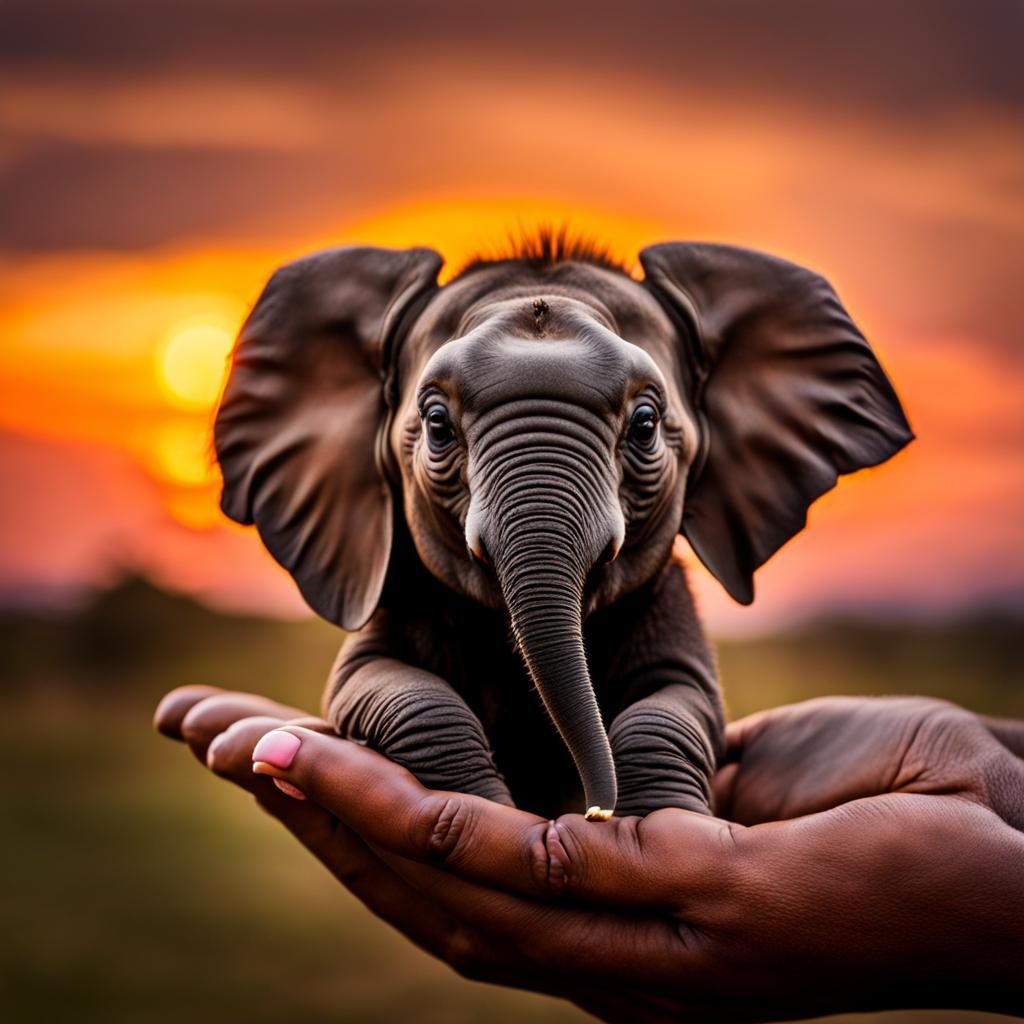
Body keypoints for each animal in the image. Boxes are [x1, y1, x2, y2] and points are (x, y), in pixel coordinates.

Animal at [213, 234, 913, 821]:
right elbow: (377, 683)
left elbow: (681, 700)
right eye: (437, 425)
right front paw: (491, 802)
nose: (595, 809)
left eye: (645, 425)